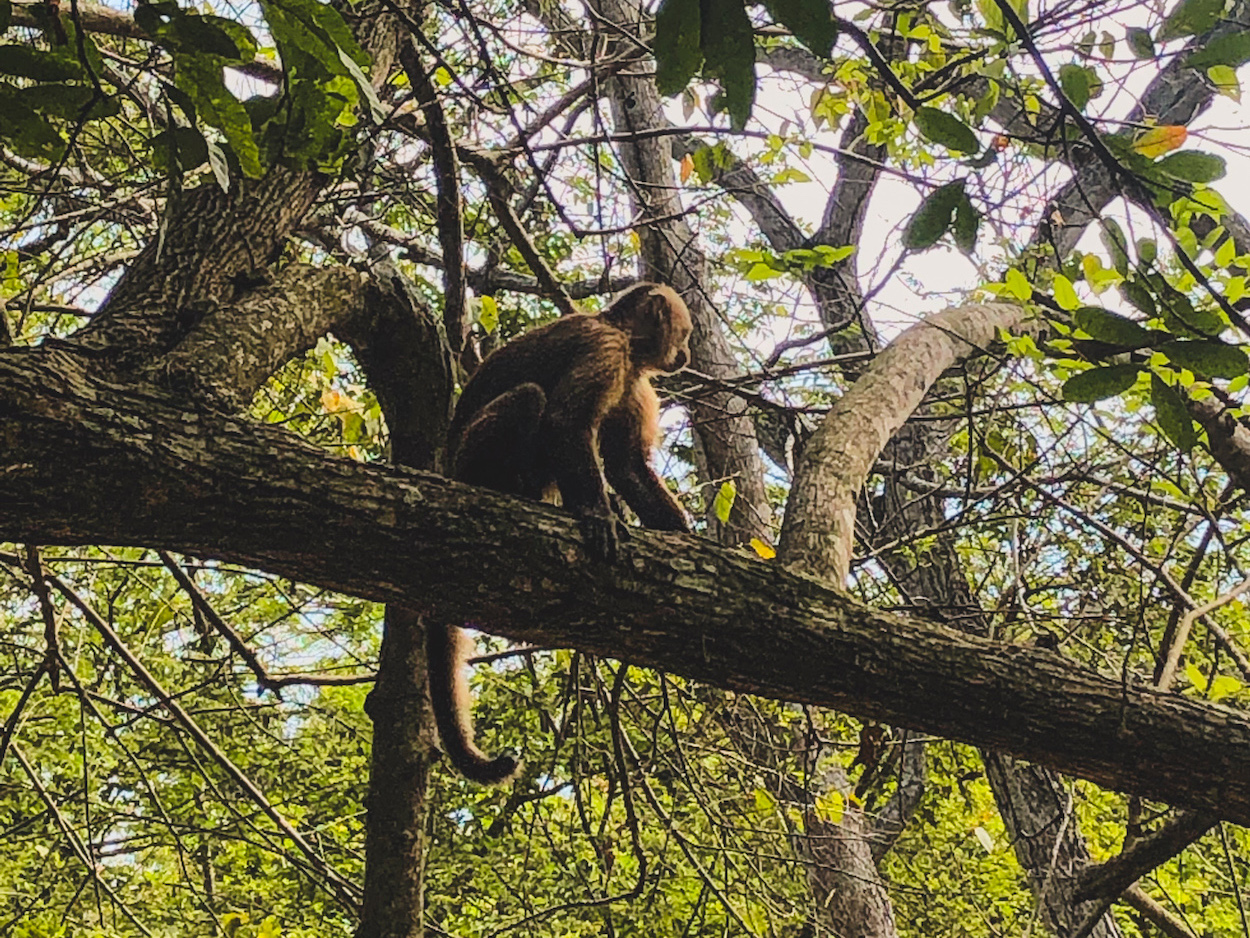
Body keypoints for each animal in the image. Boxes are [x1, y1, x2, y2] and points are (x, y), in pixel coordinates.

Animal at [432, 281, 700, 785]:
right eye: (687, 333)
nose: (688, 353)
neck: (627, 341)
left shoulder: (634, 378)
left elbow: (627, 466)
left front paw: (683, 534)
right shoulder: (606, 350)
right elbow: (566, 422)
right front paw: (597, 514)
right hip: (467, 459)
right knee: (530, 399)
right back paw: (500, 488)